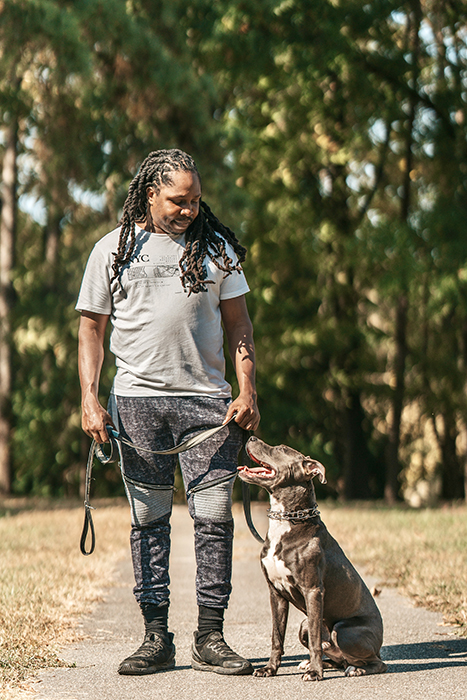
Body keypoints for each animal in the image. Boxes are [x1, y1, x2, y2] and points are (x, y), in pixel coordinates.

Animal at [238, 434, 388, 680]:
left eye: (281, 448)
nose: (250, 436)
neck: (287, 520)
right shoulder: (276, 593)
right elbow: (276, 636)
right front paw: (270, 669)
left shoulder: (313, 590)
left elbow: (317, 641)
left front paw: (316, 673)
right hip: (304, 624)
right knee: (337, 658)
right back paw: (312, 663)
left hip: (344, 631)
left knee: (375, 662)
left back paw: (354, 669)